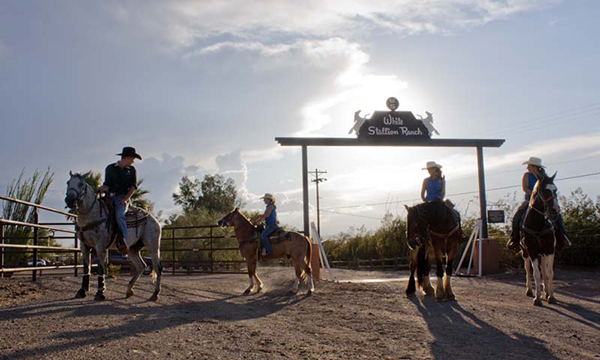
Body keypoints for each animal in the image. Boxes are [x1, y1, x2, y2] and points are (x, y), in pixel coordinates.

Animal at [65, 172, 162, 300]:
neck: (92, 215)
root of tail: (153, 219)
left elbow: (101, 268)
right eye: (68, 183)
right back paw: (129, 290)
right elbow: (87, 268)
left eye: (81, 184)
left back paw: (155, 294)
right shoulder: (84, 246)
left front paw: (100, 292)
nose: (69, 200)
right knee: (141, 266)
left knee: (157, 267)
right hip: (132, 249)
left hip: (153, 246)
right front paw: (82, 291)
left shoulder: (100, 247)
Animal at [520, 173, 564, 306]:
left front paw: (551, 296)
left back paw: (546, 292)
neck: (538, 224)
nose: (555, 209)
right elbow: (536, 274)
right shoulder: (532, 250)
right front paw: (537, 298)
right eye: (545, 190)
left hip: (543, 252)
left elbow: (549, 272)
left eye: (555, 190)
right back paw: (529, 290)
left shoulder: (549, 249)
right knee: (528, 268)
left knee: (544, 269)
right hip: (525, 251)